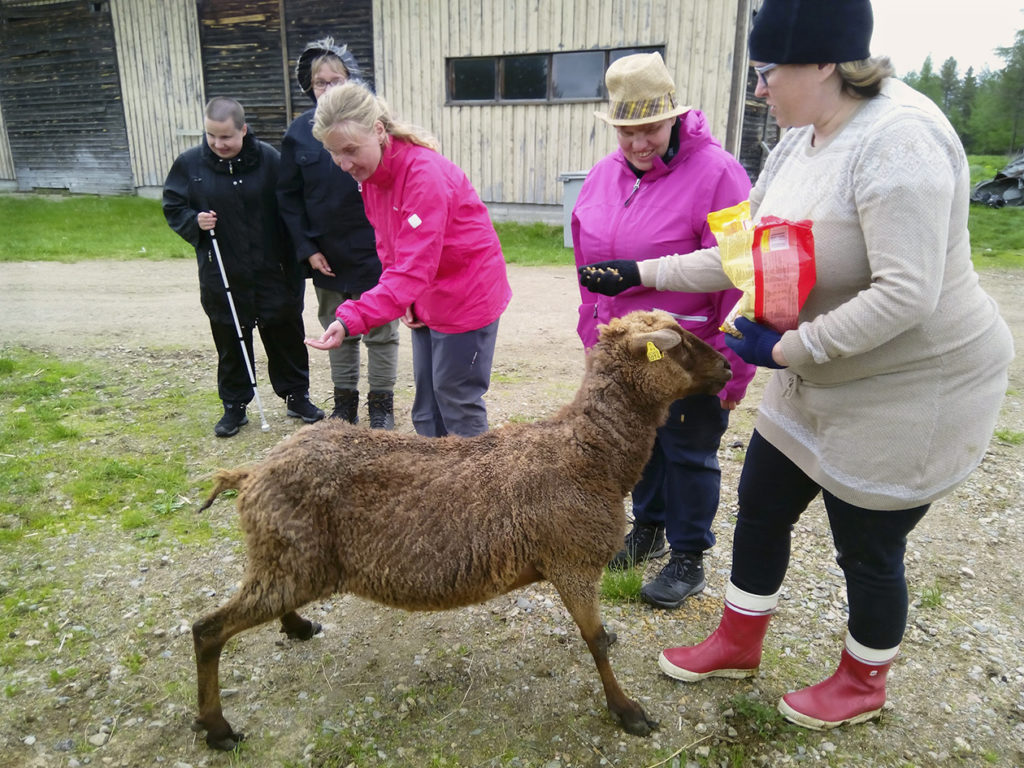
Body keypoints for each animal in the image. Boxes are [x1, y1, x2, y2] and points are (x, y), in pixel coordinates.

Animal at [192, 309, 733, 753]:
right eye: (680, 344)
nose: (729, 369)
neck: (588, 454)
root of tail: (252, 473)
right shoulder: (572, 561)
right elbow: (595, 641)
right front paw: (628, 712)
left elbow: (598, 637)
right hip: (290, 558)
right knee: (208, 630)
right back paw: (218, 729)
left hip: (288, 557)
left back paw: (298, 627)